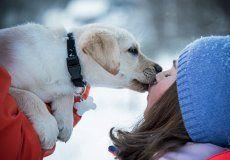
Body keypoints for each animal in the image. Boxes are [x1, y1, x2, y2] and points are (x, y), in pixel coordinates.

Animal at [0, 23, 162, 149]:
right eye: (133, 50)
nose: (160, 69)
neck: (68, 60)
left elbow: (67, 95)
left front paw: (65, 122)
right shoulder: (11, 83)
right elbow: (30, 97)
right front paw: (48, 126)